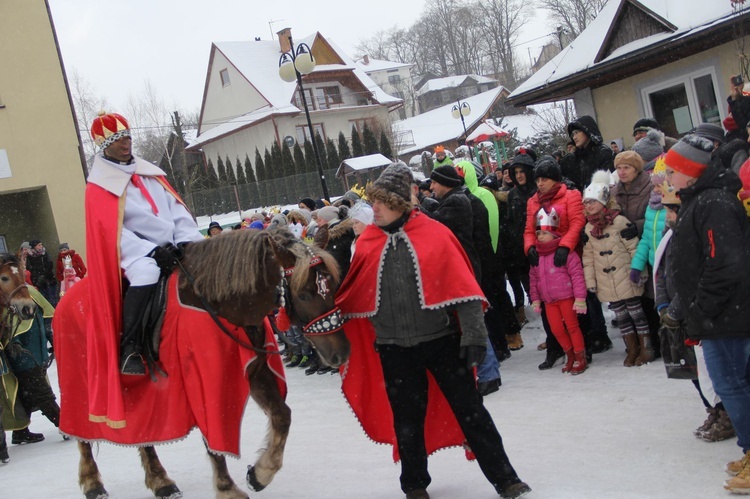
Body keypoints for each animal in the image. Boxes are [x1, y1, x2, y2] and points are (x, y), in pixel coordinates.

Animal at [53, 230, 352, 499]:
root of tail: (65, 300)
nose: (341, 353)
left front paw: (260, 473)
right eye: (303, 295)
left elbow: (282, 416)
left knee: (143, 436)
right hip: (81, 385)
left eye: (333, 284)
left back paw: (161, 481)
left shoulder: (256, 371)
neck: (219, 305)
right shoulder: (206, 382)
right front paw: (227, 489)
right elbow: (214, 439)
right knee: (81, 433)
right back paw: (92, 482)